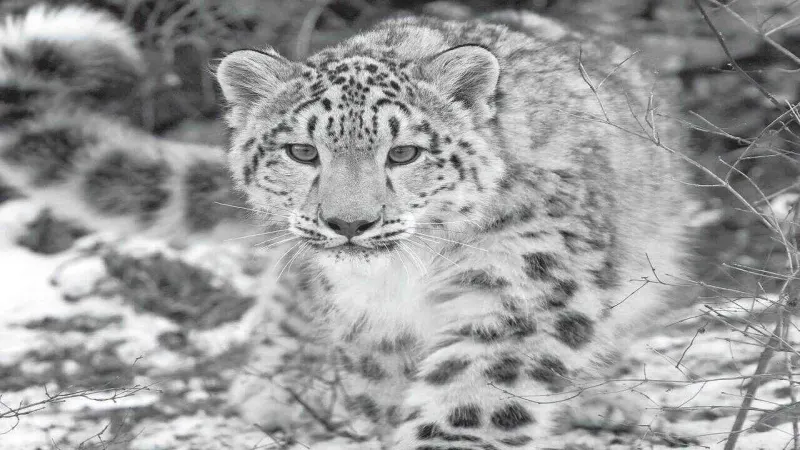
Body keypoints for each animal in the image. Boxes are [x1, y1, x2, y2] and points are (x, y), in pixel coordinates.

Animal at [0, 4, 692, 449]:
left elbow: (475, 392)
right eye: (302, 152)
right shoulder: (370, 327)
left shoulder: (521, 286)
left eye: (404, 153)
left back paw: (608, 398)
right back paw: (279, 387)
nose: (349, 223)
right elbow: (383, 395)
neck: (404, 279)